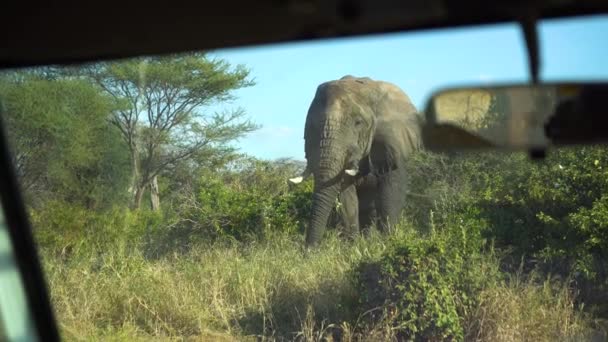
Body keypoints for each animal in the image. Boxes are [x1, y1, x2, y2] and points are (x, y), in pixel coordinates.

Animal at [288, 75, 422, 246]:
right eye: (311, 127)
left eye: (358, 123)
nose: (309, 250)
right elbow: (347, 197)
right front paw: (353, 247)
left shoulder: (391, 142)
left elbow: (392, 190)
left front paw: (388, 242)